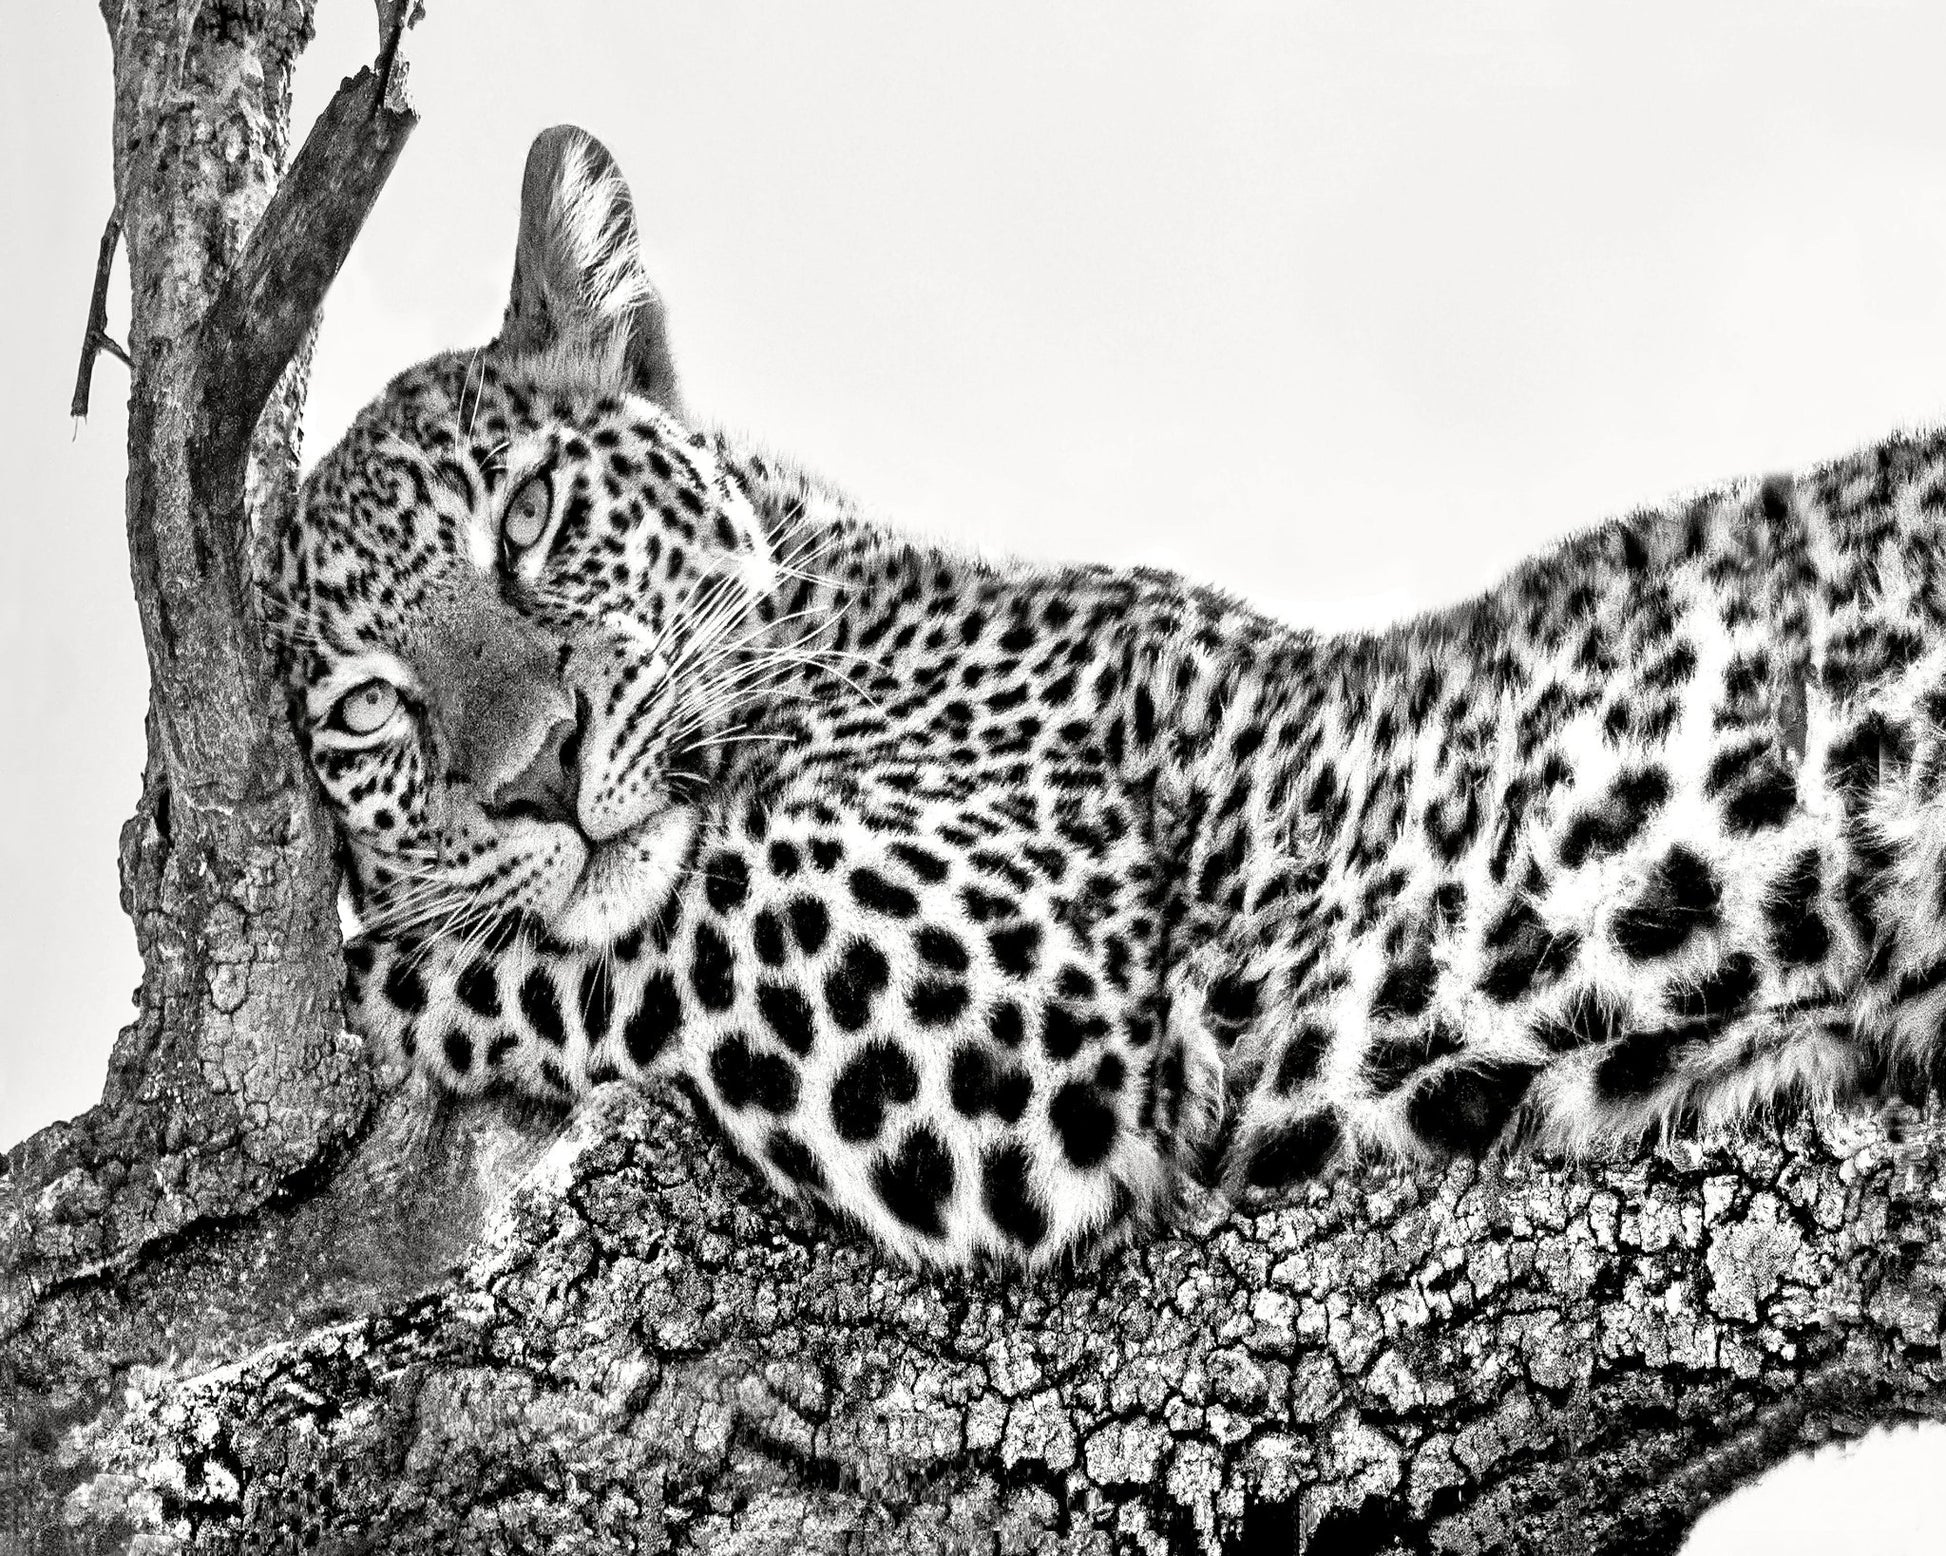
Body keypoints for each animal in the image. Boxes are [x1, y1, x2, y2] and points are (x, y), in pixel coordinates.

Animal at [265, 124, 1946, 1271]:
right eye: (365, 712)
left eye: (531, 517)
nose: (536, 773)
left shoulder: (1010, 991)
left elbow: (596, 941)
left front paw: (373, 976)